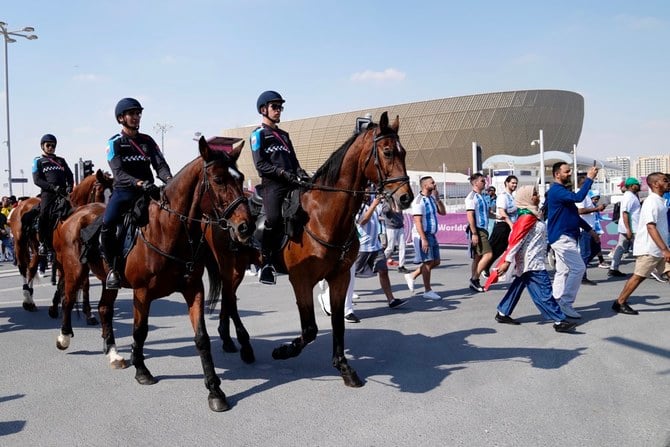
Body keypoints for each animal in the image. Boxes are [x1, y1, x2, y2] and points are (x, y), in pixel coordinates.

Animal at [9, 170, 113, 314]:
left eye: (113, 193)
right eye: (99, 191)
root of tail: (22, 205)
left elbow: (78, 280)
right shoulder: (64, 254)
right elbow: (79, 280)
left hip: (36, 247)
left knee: (32, 267)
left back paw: (30, 298)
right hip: (19, 242)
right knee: (23, 267)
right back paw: (27, 298)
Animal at [52, 137, 255, 412]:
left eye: (241, 178)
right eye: (219, 179)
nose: (246, 226)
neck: (169, 231)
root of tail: (76, 213)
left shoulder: (194, 289)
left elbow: (201, 338)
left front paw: (215, 391)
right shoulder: (142, 293)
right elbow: (140, 331)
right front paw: (142, 371)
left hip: (107, 280)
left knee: (104, 309)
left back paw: (113, 353)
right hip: (74, 271)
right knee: (67, 299)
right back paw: (64, 337)